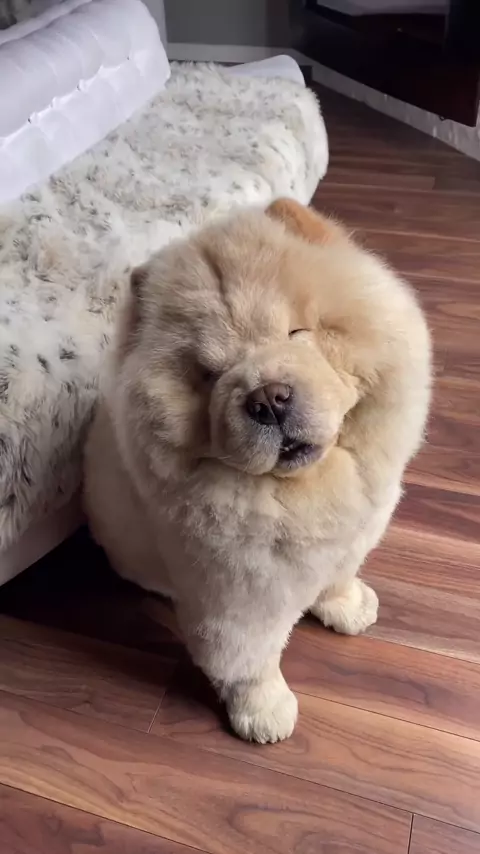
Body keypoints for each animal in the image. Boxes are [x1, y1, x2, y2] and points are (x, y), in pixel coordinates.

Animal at [84, 198, 431, 743]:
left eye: (297, 332)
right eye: (209, 375)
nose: (268, 397)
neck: (305, 493)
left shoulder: (354, 539)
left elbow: (339, 576)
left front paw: (349, 606)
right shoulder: (236, 603)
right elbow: (248, 664)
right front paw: (264, 716)